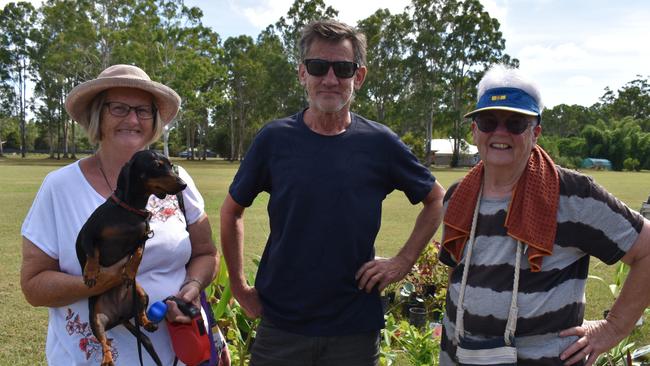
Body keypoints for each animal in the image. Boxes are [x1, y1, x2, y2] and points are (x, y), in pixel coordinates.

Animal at [77, 149, 187, 366]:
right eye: (156, 165)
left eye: (171, 165)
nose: (183, 185)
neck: (129, 211)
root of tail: (120, 317)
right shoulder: (88, 233)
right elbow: (93, 253)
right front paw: (91, 272)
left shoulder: (143, 238)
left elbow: (137, 255)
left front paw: (129, 271)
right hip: (95, 318)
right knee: (104, 341)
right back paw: (107, 359)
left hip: (141, 293)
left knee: (141, 316)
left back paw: (148, 322)